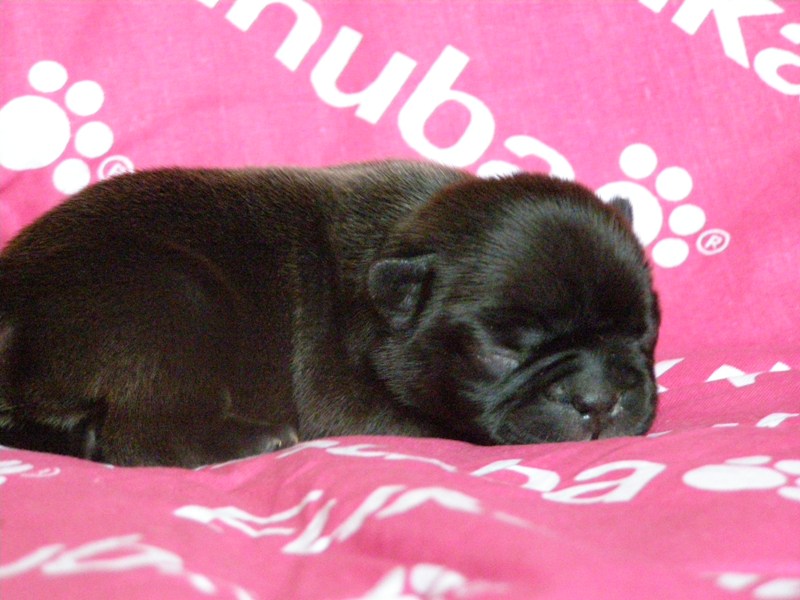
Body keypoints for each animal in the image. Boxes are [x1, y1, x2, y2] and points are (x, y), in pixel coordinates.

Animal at [0, 161, 660, 467]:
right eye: (504, 351)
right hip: (172, 301)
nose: (600, 401)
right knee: (139, 433)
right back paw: (256, 439)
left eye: (642, 334)